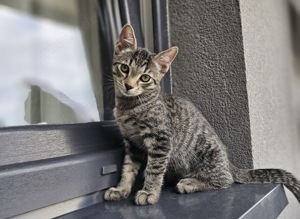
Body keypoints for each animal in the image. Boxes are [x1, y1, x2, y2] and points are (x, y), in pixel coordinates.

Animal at [103, 24, 300, 205]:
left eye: (145, 78)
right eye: (124, 68)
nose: (128, 86)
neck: (130, 106)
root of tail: (229, 163)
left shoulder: (161, 139)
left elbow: (154, 169)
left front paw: (149, 192)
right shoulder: (131, 143)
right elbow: (128, 168)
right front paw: (121, 189)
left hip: (206, 154)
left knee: (225, 179)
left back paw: (191, 183)